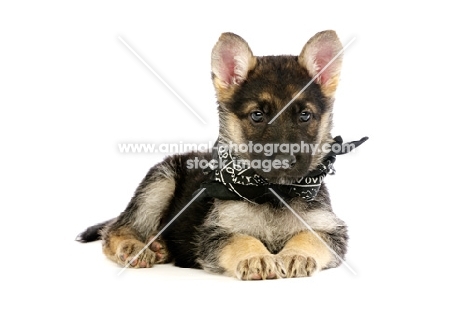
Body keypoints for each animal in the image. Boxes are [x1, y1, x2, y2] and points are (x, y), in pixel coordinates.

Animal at [78, 31, 352, 280]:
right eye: (257, 115)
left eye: (305, 115)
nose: (284, 161)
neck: (272, 193)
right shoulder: (216, 234)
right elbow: (241, 239)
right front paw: (256, 256)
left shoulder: (331, 231)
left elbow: (309, 236)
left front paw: (296, 254)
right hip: (159, 183)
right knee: (116, 230)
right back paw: (134, 247)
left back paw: (161, 247)